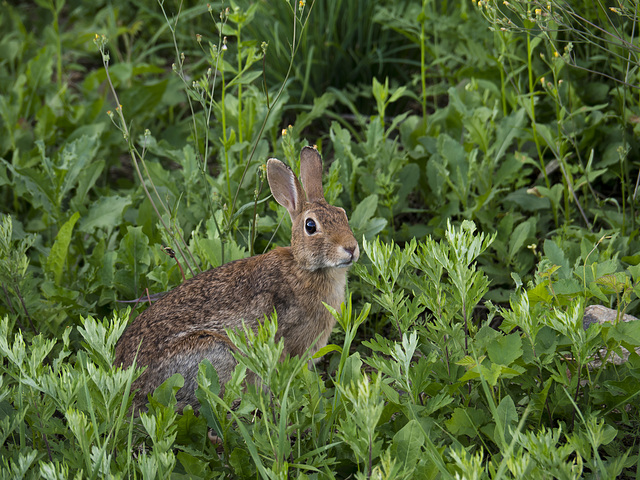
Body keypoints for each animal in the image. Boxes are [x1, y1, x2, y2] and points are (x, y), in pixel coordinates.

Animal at [114, 144, 360, 410]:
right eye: (311, 226)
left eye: (343, 214)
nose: (351, 248)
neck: (305, 269)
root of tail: (128, 385)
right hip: (215, 352)